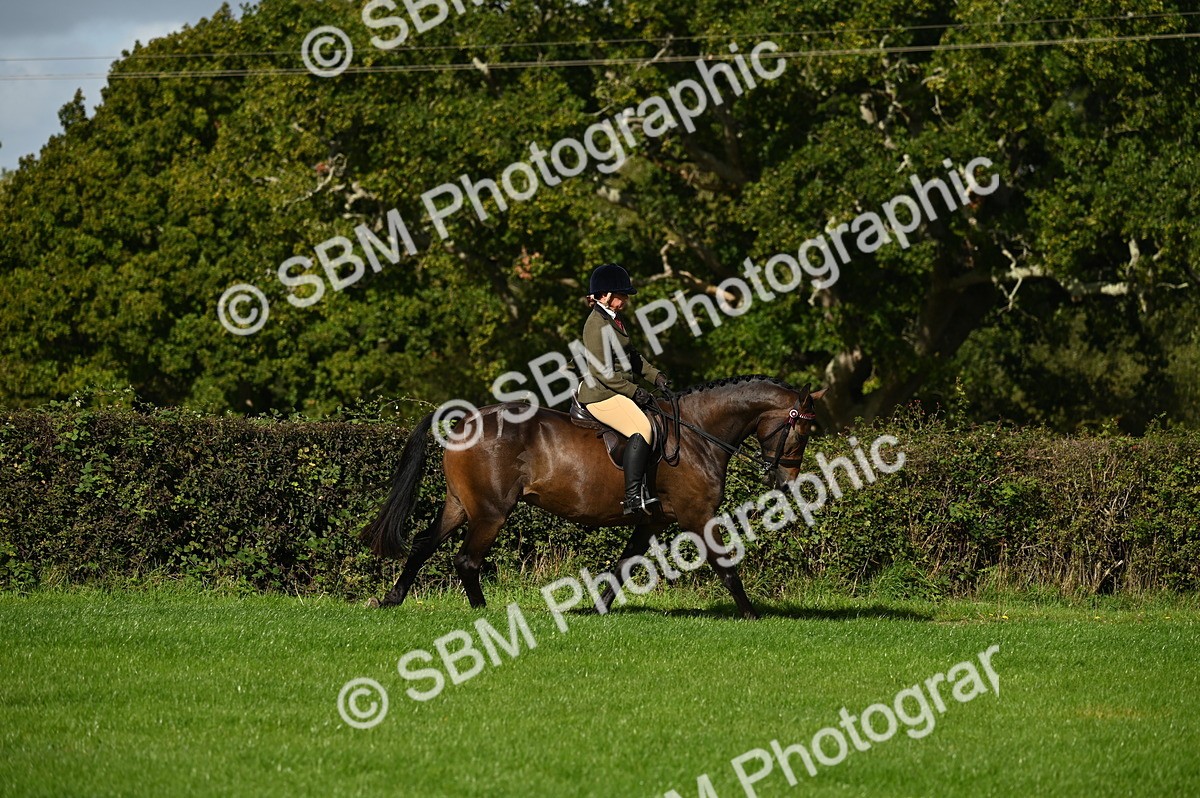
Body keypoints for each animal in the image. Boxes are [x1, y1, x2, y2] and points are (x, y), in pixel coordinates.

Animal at [360, 375, 824, 619]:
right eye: (801, 431)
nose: (785, 482)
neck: (697, 435)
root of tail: (466, 420)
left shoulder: (651, 521)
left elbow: (623, 567)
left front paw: (598, 610)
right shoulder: (698, 516)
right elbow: (726, 567)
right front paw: (751, 614)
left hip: (460, 506)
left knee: (424, 545)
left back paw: (392, 599)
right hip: (492, 512)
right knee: (466, 560)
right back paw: (484, 611)